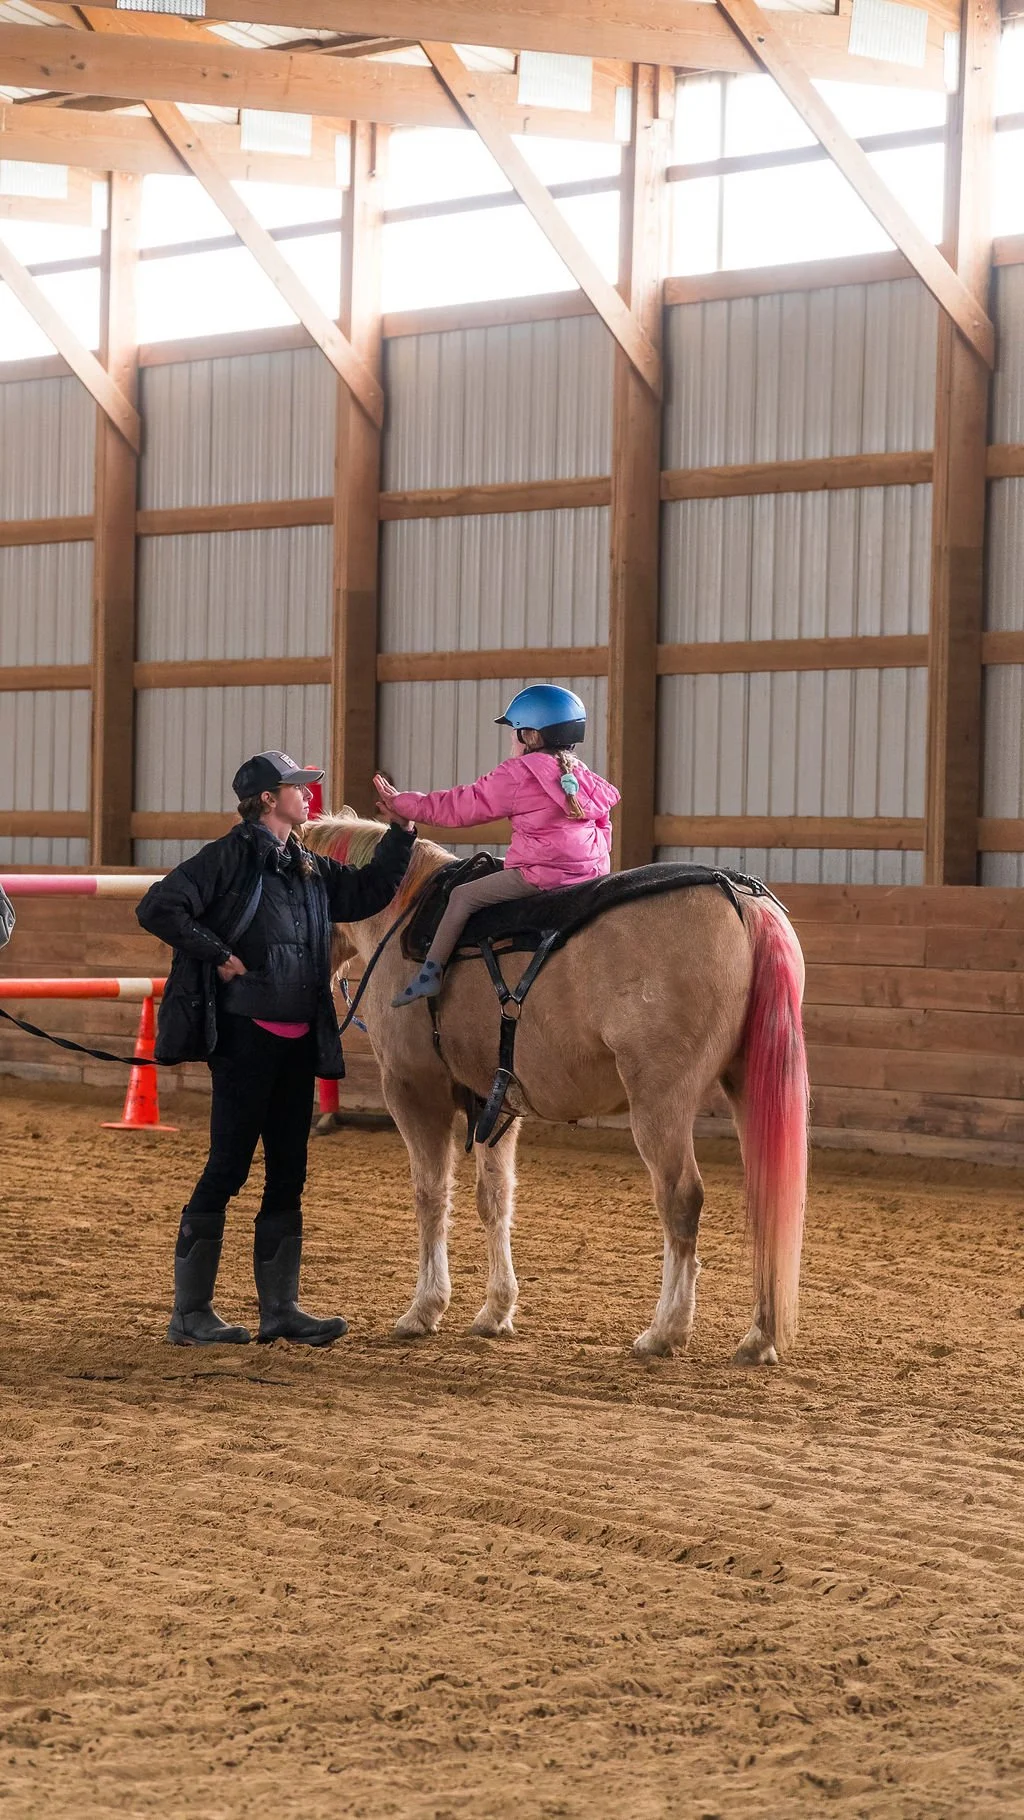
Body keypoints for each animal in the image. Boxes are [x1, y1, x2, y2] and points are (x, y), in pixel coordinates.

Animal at [305, 812, 810, 1367]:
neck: (405, 914)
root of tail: (739, 896)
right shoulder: (495, 1103)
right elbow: (494, 1198)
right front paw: (495, 1310)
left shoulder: (416, 1092)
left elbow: (431, 1194)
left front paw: (424, 1308)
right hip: (748, 1090)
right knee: (766, 1202)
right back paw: (759, 1336)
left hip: (660, 1102)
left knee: (681, 1201)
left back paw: (666, 1330)